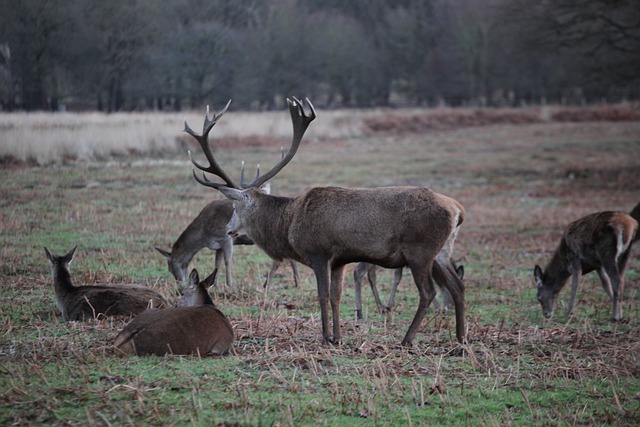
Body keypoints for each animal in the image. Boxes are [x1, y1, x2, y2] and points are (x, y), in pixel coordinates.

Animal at [159, 196, 302, 290]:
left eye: (169, 267)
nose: (179, 286)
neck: (203, 233)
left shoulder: (226, 238)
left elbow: (227, 261)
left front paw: (229, 285)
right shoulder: (217, 245)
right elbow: (217, 263)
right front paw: (215, 285)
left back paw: (267, 285)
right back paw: (297, 283)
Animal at [185, 98, 464, 348]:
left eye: (235, 206)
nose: (229, 230)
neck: (289, 225)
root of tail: (457, 210)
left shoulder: (318, 251)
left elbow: (322, 295)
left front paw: (325, 338)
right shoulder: (340, 260)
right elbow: (336, 296)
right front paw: (338, 338)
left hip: (421, 250)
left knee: (428, 292)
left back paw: (407, 340)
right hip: (441, 252)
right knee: (458, 286)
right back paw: (461, 339)